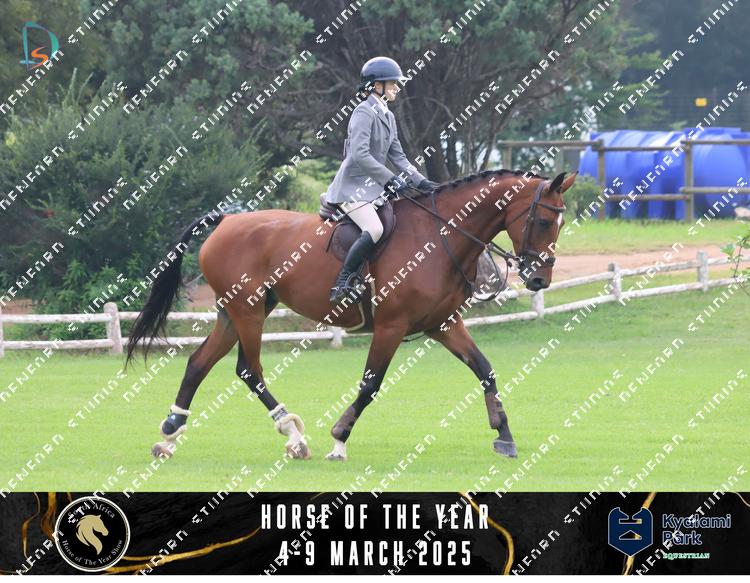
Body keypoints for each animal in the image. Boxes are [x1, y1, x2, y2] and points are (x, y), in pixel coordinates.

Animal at [124, 169, 576, 461]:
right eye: (542, 220)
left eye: (559, 222)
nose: (540, 279)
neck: (439, 237)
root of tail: (227, 219)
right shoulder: (391, 327)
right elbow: (370, 385)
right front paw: (339, 440)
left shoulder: (443, 325)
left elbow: (485, 369)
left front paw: (504, 436)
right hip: (248, 311)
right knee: (249, 370)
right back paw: (292, 435)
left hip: (234, 312)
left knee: (199, 363)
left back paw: (169, 435)